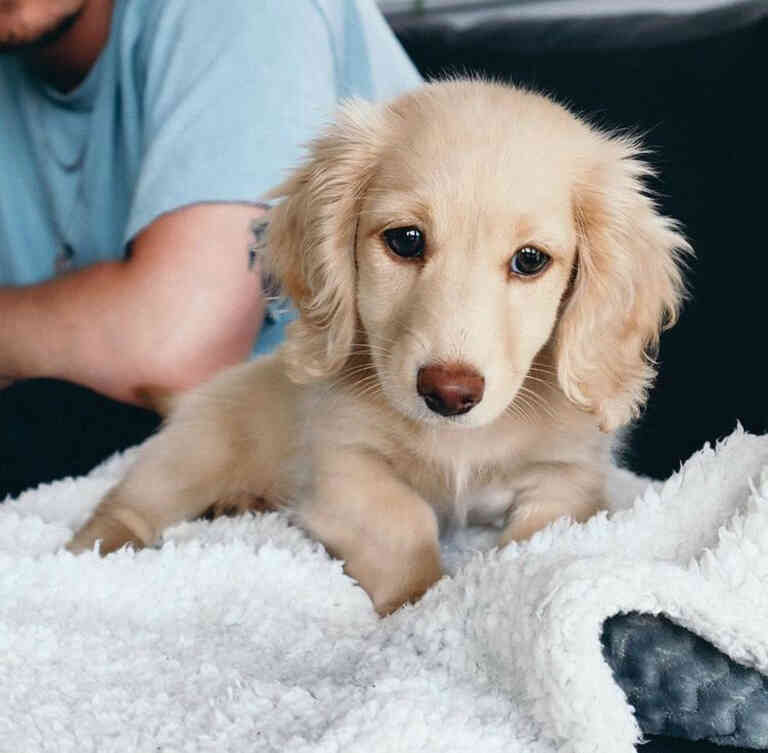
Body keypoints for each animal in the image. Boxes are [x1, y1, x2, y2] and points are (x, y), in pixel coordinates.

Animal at [67, 79, 688, 612]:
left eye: (531, 260)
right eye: (406, 240)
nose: (449, 393)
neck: (459, 444)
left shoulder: (569, 478)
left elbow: (537, 537)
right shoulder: (342, 466)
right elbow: (403, 520)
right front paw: (420, 603)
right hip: (193, 453)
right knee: (127, 504)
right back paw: (96, 553)